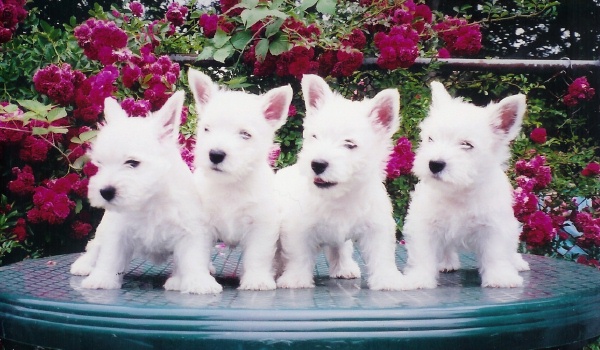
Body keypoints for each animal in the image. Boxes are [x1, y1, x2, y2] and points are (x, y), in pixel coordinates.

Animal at [70, 91, 220, 294]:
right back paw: (84, 265)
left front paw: (200, 282)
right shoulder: (117, 232)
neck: (150, 200)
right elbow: (109, 257)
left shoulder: (191, 231)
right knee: (95, 246)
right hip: (104, 227)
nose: (105, 192)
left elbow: (193, 259)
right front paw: (101, 279)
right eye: (100, 164)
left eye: (132, 163)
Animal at [186, 67, 292, 290]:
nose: (215, 154)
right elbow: (197, 253)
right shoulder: (201, 224)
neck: (230, 185)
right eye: (207, 129)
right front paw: (200, 280)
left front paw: (257, 279)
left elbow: (258, 256)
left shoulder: (261, 225)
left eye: (245, 134)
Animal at [274, 74, 406, 290]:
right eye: (315, 136)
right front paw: (295, 279)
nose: (317, 164)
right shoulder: (297, 228)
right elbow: (298, 255)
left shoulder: (377, 226)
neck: (340, 196)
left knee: (340, 248)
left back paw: (344, 268)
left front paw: (387, 278)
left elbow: (382, 255)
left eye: (350, 144)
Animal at [404, 82, 528, 290]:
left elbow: (496, 254)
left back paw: (517, 262)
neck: (459, 191)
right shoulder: (425, 224)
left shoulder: (494, 225)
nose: (435, 164)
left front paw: (500, 277)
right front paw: (419, 278)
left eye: (466, 144)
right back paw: (446, 262)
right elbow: (423, 255)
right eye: (430, 139)